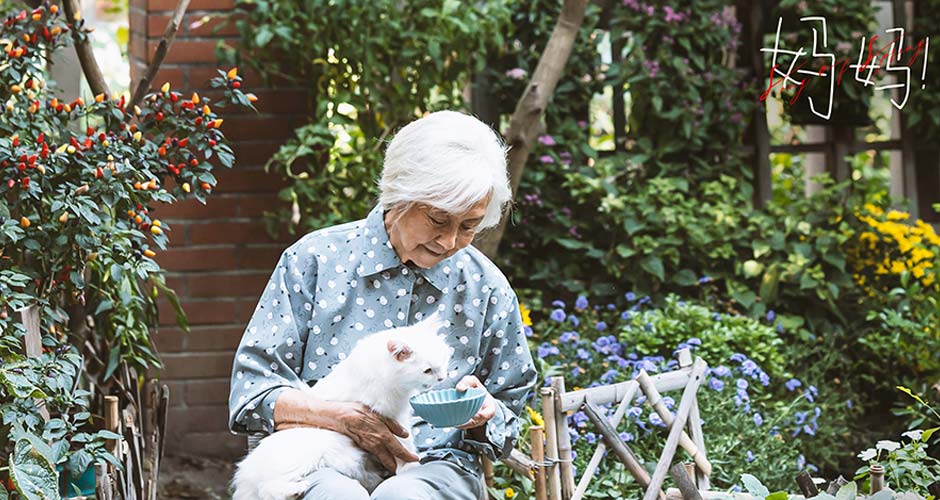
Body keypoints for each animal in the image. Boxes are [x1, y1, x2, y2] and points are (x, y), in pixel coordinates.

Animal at [228, 312, 448, 500]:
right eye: (428, 370)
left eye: (444, 360)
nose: (442, 378)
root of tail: (245, 470)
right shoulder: (389, 418)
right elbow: (404, 445)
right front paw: (411, 465)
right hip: (302, 459)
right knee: (266, 488)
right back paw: (295, 490)